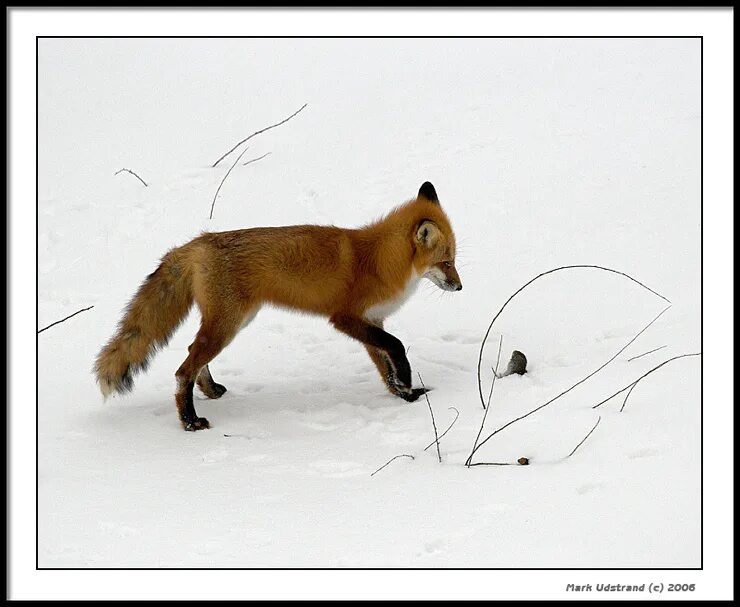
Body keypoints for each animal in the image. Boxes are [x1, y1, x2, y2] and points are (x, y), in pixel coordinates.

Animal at [94, 182, 460, 432]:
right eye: (447, 262)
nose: (460, 287)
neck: (379, 261)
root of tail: (196, 243)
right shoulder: (345, 318)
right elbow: (395, 347)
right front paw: (407, 386)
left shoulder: (373, 320)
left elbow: (385, 366)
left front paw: (404, 394)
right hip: (227, 327)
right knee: (182, 371)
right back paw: (190, 421)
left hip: (231, 323)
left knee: (191, 355)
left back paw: (210, 391)